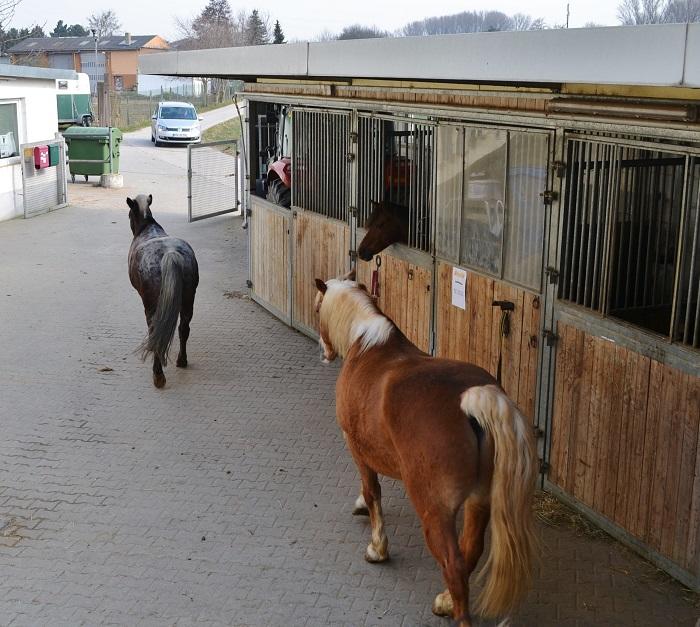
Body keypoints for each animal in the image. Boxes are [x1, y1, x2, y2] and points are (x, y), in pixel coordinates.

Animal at [127, 194, 198, 388]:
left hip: (152, 304)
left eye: (129, 215)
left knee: (155, 330)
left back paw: (158, 375)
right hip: (188, 299)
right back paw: (182, 360)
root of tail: (171, 254)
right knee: (184, 328)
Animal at [314, 272, 540, 624]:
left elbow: (372, 491)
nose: (321, 350)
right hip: (479, 501)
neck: (367, 344)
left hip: (435, 510)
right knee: (470, 551)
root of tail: (471, 401)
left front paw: (377, 547)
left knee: (454, 563)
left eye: (316, 308)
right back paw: (446, 601)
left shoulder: (355, 446)